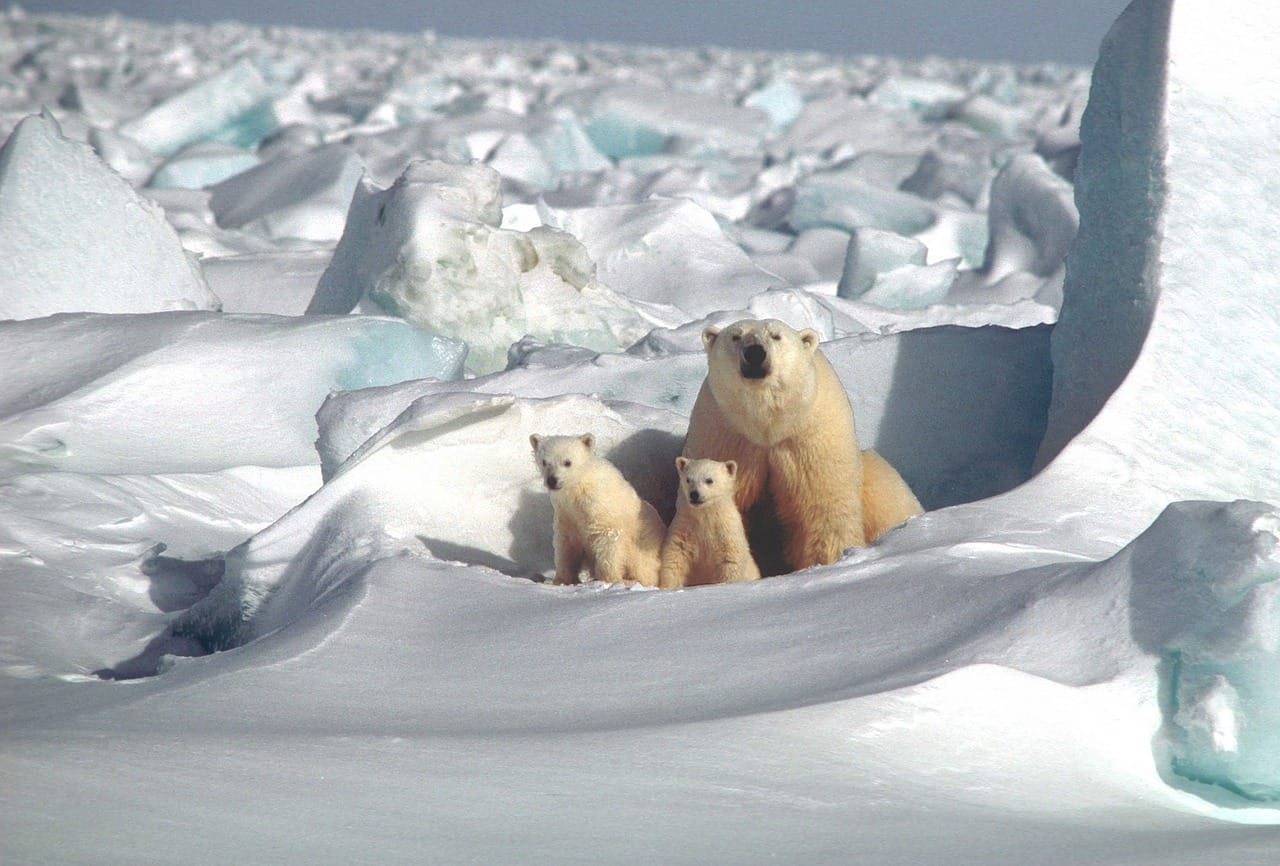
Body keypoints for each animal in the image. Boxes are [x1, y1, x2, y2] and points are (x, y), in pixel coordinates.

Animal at [530, 433, 665, 587]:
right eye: (545, 462)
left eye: (567, 462)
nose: (552, 480)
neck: (578, 488)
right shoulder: (566, 512)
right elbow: (567, 543)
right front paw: (557, 581)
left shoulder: (600, 506)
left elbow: (609, 539)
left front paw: (608, 580)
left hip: (643, 546)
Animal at [659, 456, 762, 589]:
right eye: (688, 479)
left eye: (709, 480)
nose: (694, 494)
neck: (705, 516)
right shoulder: (684, 527)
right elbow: (675, 556)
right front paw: (668, 586)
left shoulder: (726, 531)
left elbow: (730, 559)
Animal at [681, 318, 922, 574]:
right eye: (736, 336)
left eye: (776, 336)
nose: (755, 353)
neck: (768, 425)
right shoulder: (726, 436)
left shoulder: (809, 438)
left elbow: (821, 508)